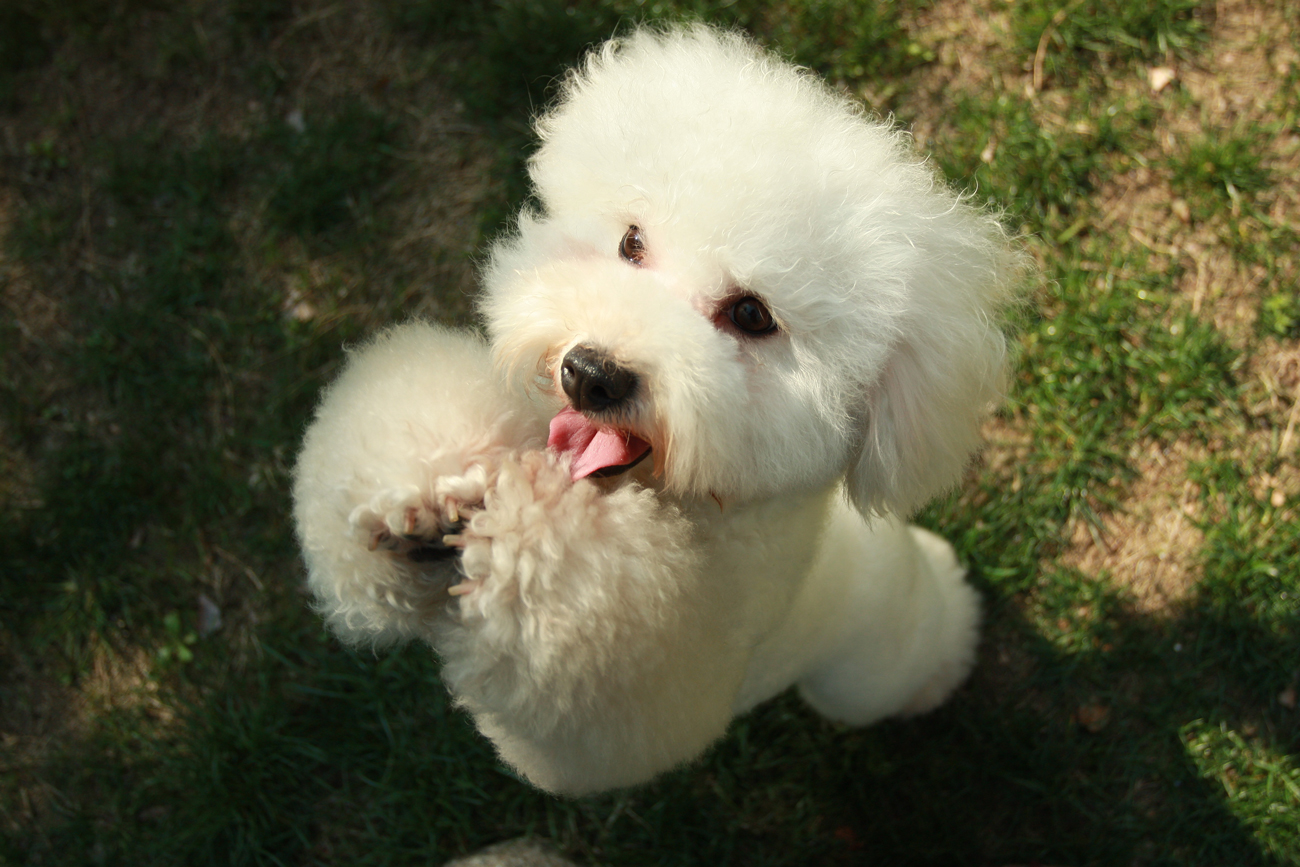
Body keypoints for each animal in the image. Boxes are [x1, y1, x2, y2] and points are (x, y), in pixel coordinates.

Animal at [289, 25, 1019, 800]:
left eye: (752, 315)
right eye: (631, 243)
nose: (589, 374)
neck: (687, 502)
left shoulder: (645, 692)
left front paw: (519, 528)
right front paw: (421, 503)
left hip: (868, 669)